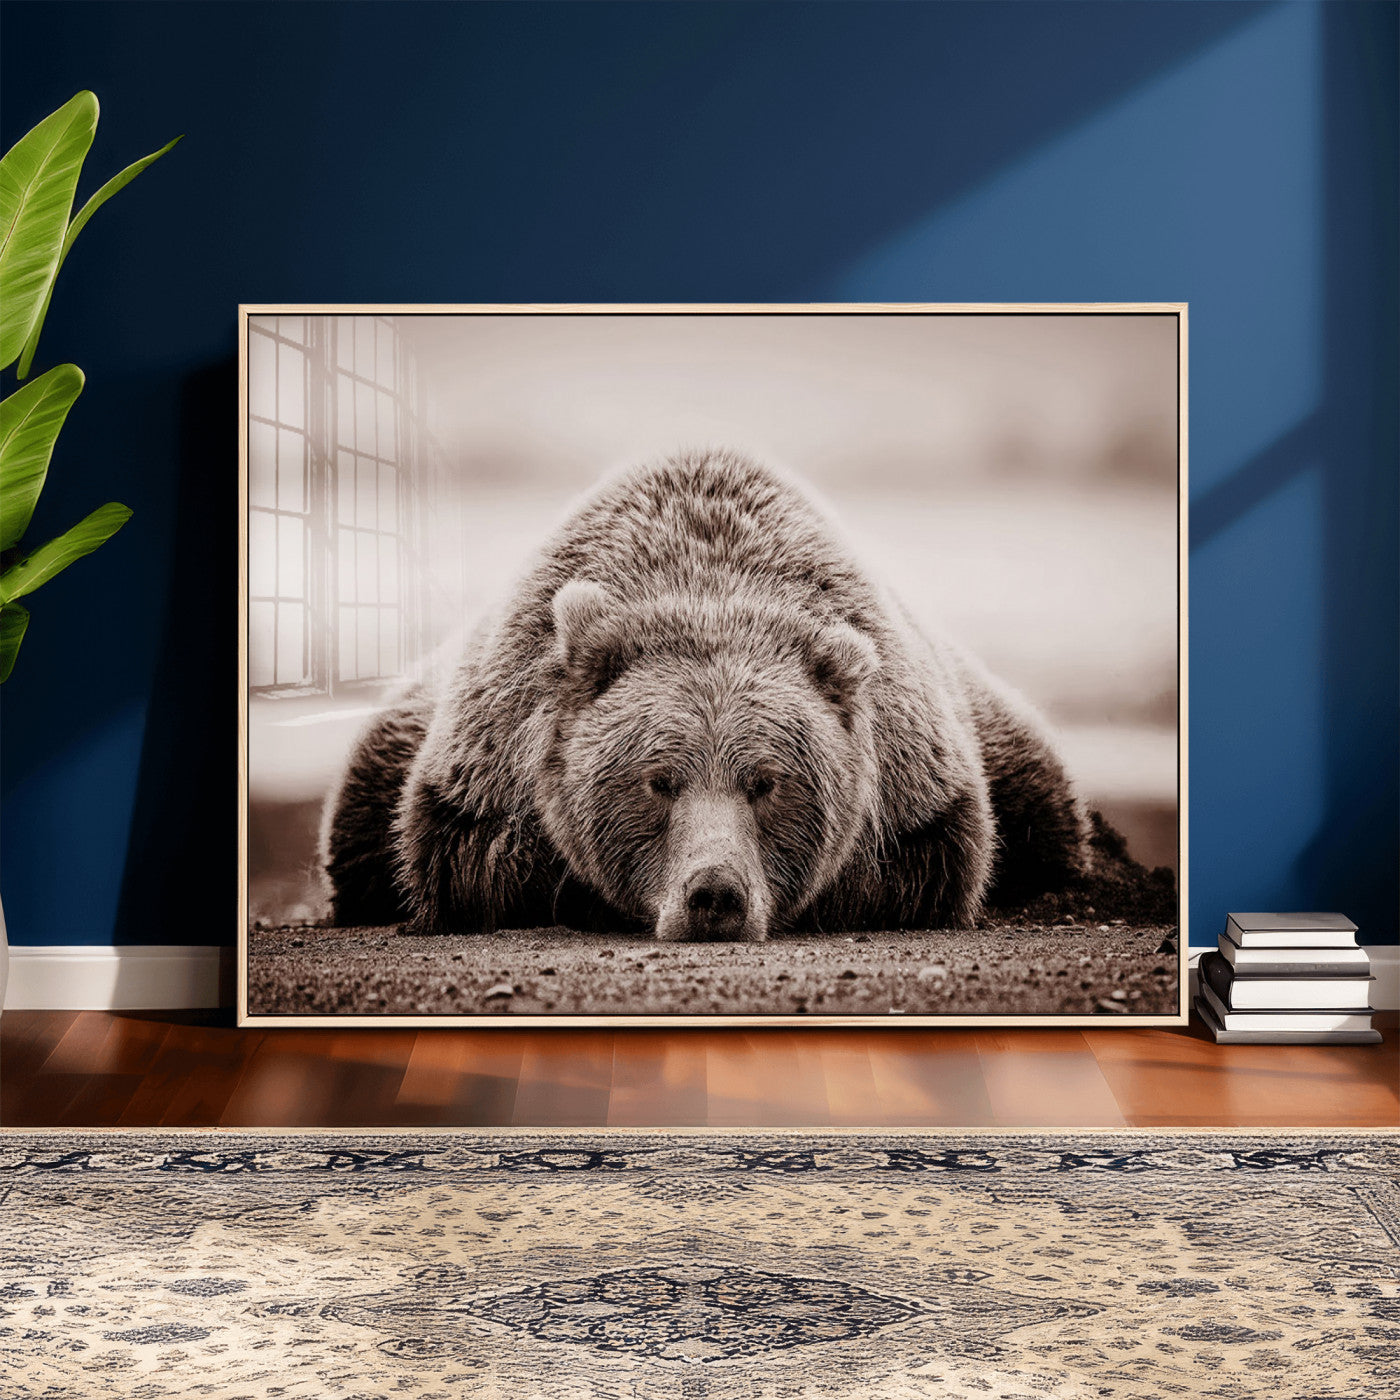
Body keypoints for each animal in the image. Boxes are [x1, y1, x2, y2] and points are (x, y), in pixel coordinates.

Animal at [321, 448, 1087, 941]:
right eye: (658, 780)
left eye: (767, 781)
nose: (714, 893)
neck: (707, 584)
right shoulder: (487, 760)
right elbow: (471, 859)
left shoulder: (915, 780)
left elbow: (928, 862)